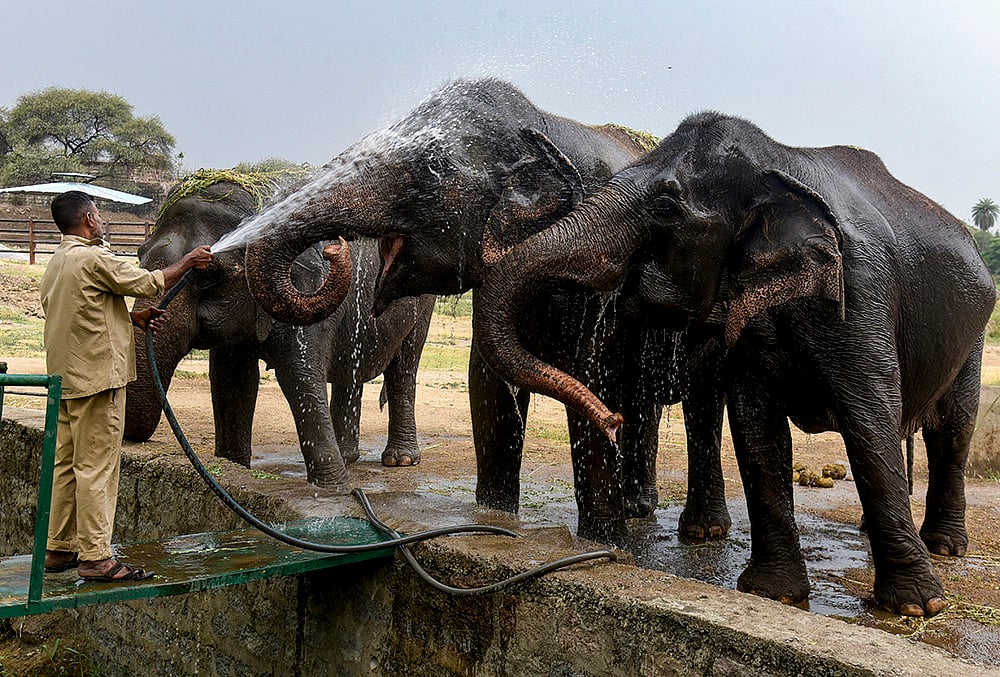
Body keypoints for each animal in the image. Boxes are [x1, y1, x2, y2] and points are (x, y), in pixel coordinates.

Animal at [124, 175, 436, 487]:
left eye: (207, 274)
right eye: (139, 256)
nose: (336, 247)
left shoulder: (305, 287)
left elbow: (299, 376)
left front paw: (333, 488)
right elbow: (231, 381)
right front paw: (233, 468)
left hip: (423, 300)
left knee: (404, 366)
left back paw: (400, 460)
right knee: (351, 369)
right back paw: (349, 457)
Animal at [240, 78, 731, 545]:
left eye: (428, 171)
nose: (333, 246)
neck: (542, 124)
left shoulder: (598, 265)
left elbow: (590, 377)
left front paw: (606, 544)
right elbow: (488, 385)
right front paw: (494, 519)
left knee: (702, 401)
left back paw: (700, 530)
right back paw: (638, 506)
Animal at [473, 112, 996, 617]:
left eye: (666, 208)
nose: (611, 418)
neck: (778, 164)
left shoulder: (862, 292)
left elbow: (867, 418)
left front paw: (916, 606)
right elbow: (756, 426)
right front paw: (773, 595)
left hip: (974, 337)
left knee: (952, 429)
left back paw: (946, 548)